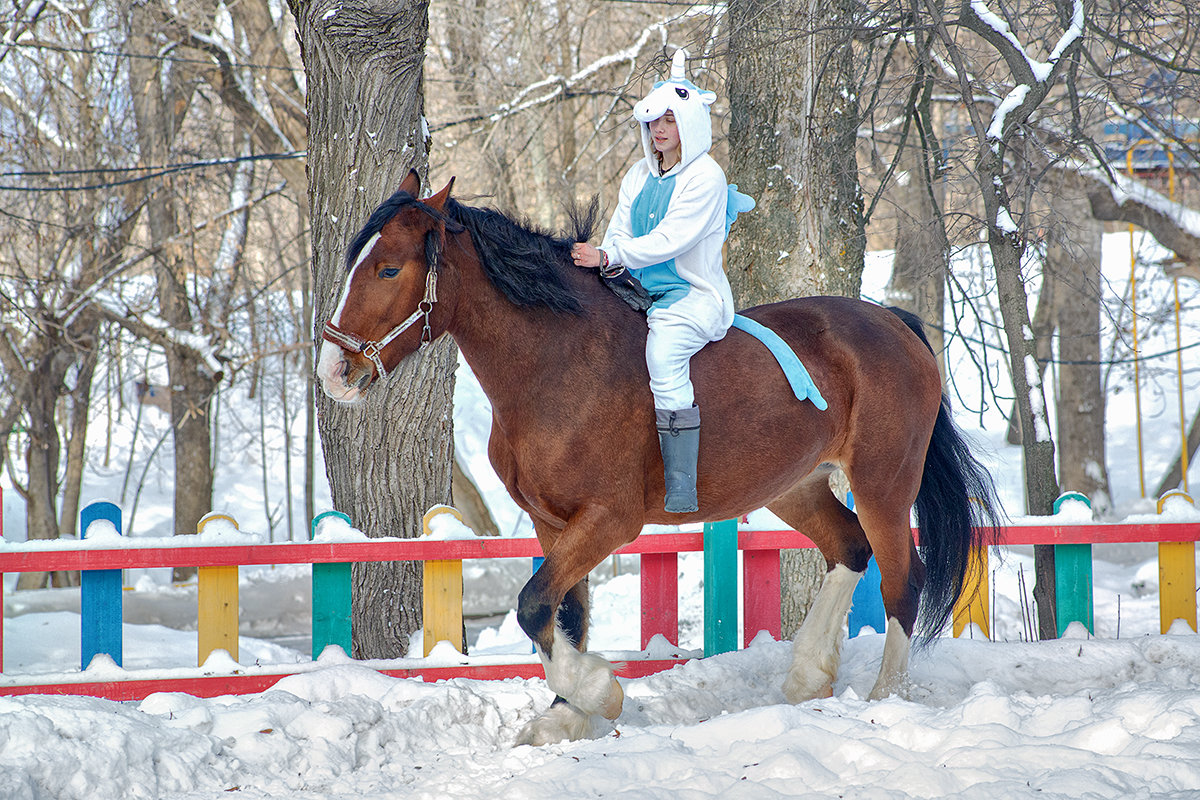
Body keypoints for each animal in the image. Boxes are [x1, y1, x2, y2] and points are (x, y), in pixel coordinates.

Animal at [319, 172, 1003, 748]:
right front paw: (565, 716)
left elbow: (535, 604)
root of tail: (892, 320)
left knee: (902, 579)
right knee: (850, 549)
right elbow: (566, 612)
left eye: (388, 268)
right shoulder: (552, 523)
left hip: (883, 482)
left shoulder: (609, 520)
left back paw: (885, 698)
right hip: (795, 486)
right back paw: (809, 677)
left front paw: (599, 693)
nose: (333, 372)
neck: (558, 363)